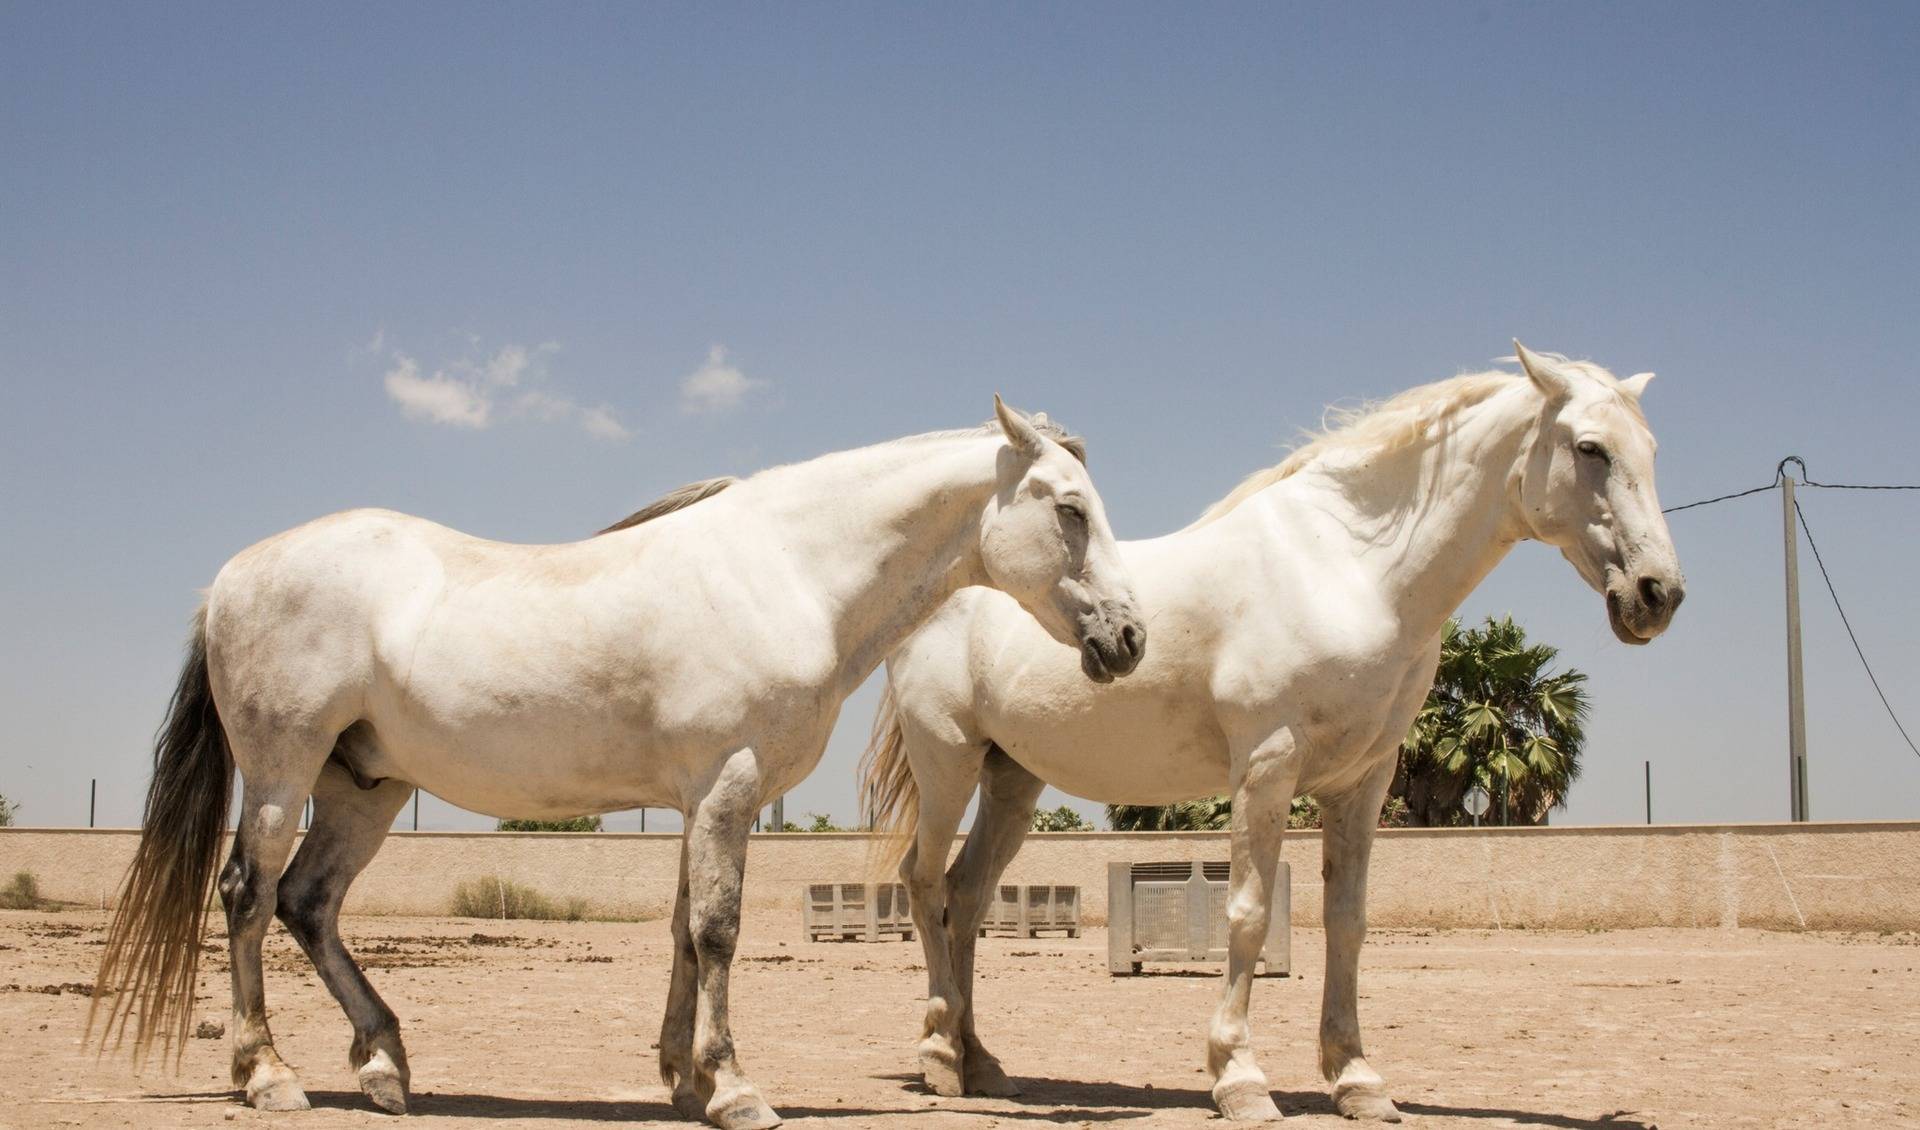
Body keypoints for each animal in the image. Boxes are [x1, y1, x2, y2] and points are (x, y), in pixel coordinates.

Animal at [89, 398, 1147, 1130]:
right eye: (1069, 510)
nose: (1130, 639)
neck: (786, 571)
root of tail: (232, 577)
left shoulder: (697, 800)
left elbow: (682, 930)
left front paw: (681, 1075)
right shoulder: (725, 787)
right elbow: (718, 931)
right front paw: (734, 1089)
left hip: (364, 790)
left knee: (310, 905)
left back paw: (385, 1066)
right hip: (282, 773)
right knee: (247, 896)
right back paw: (267, 1075)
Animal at [862, 345, 1684, 1122]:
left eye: (1650, 448)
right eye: (1589, 448)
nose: (1658, 594)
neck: (1348, 569)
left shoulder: (1363, 781)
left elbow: (1347, 922)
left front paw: (1357, 1080)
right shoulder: (1267, 766)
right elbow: (1249, 915)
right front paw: (1240, 1079)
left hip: (1012, 779)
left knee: (967, 897)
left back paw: (981, 1062)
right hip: (949, 763)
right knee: (926, 883)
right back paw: (941, 1059)